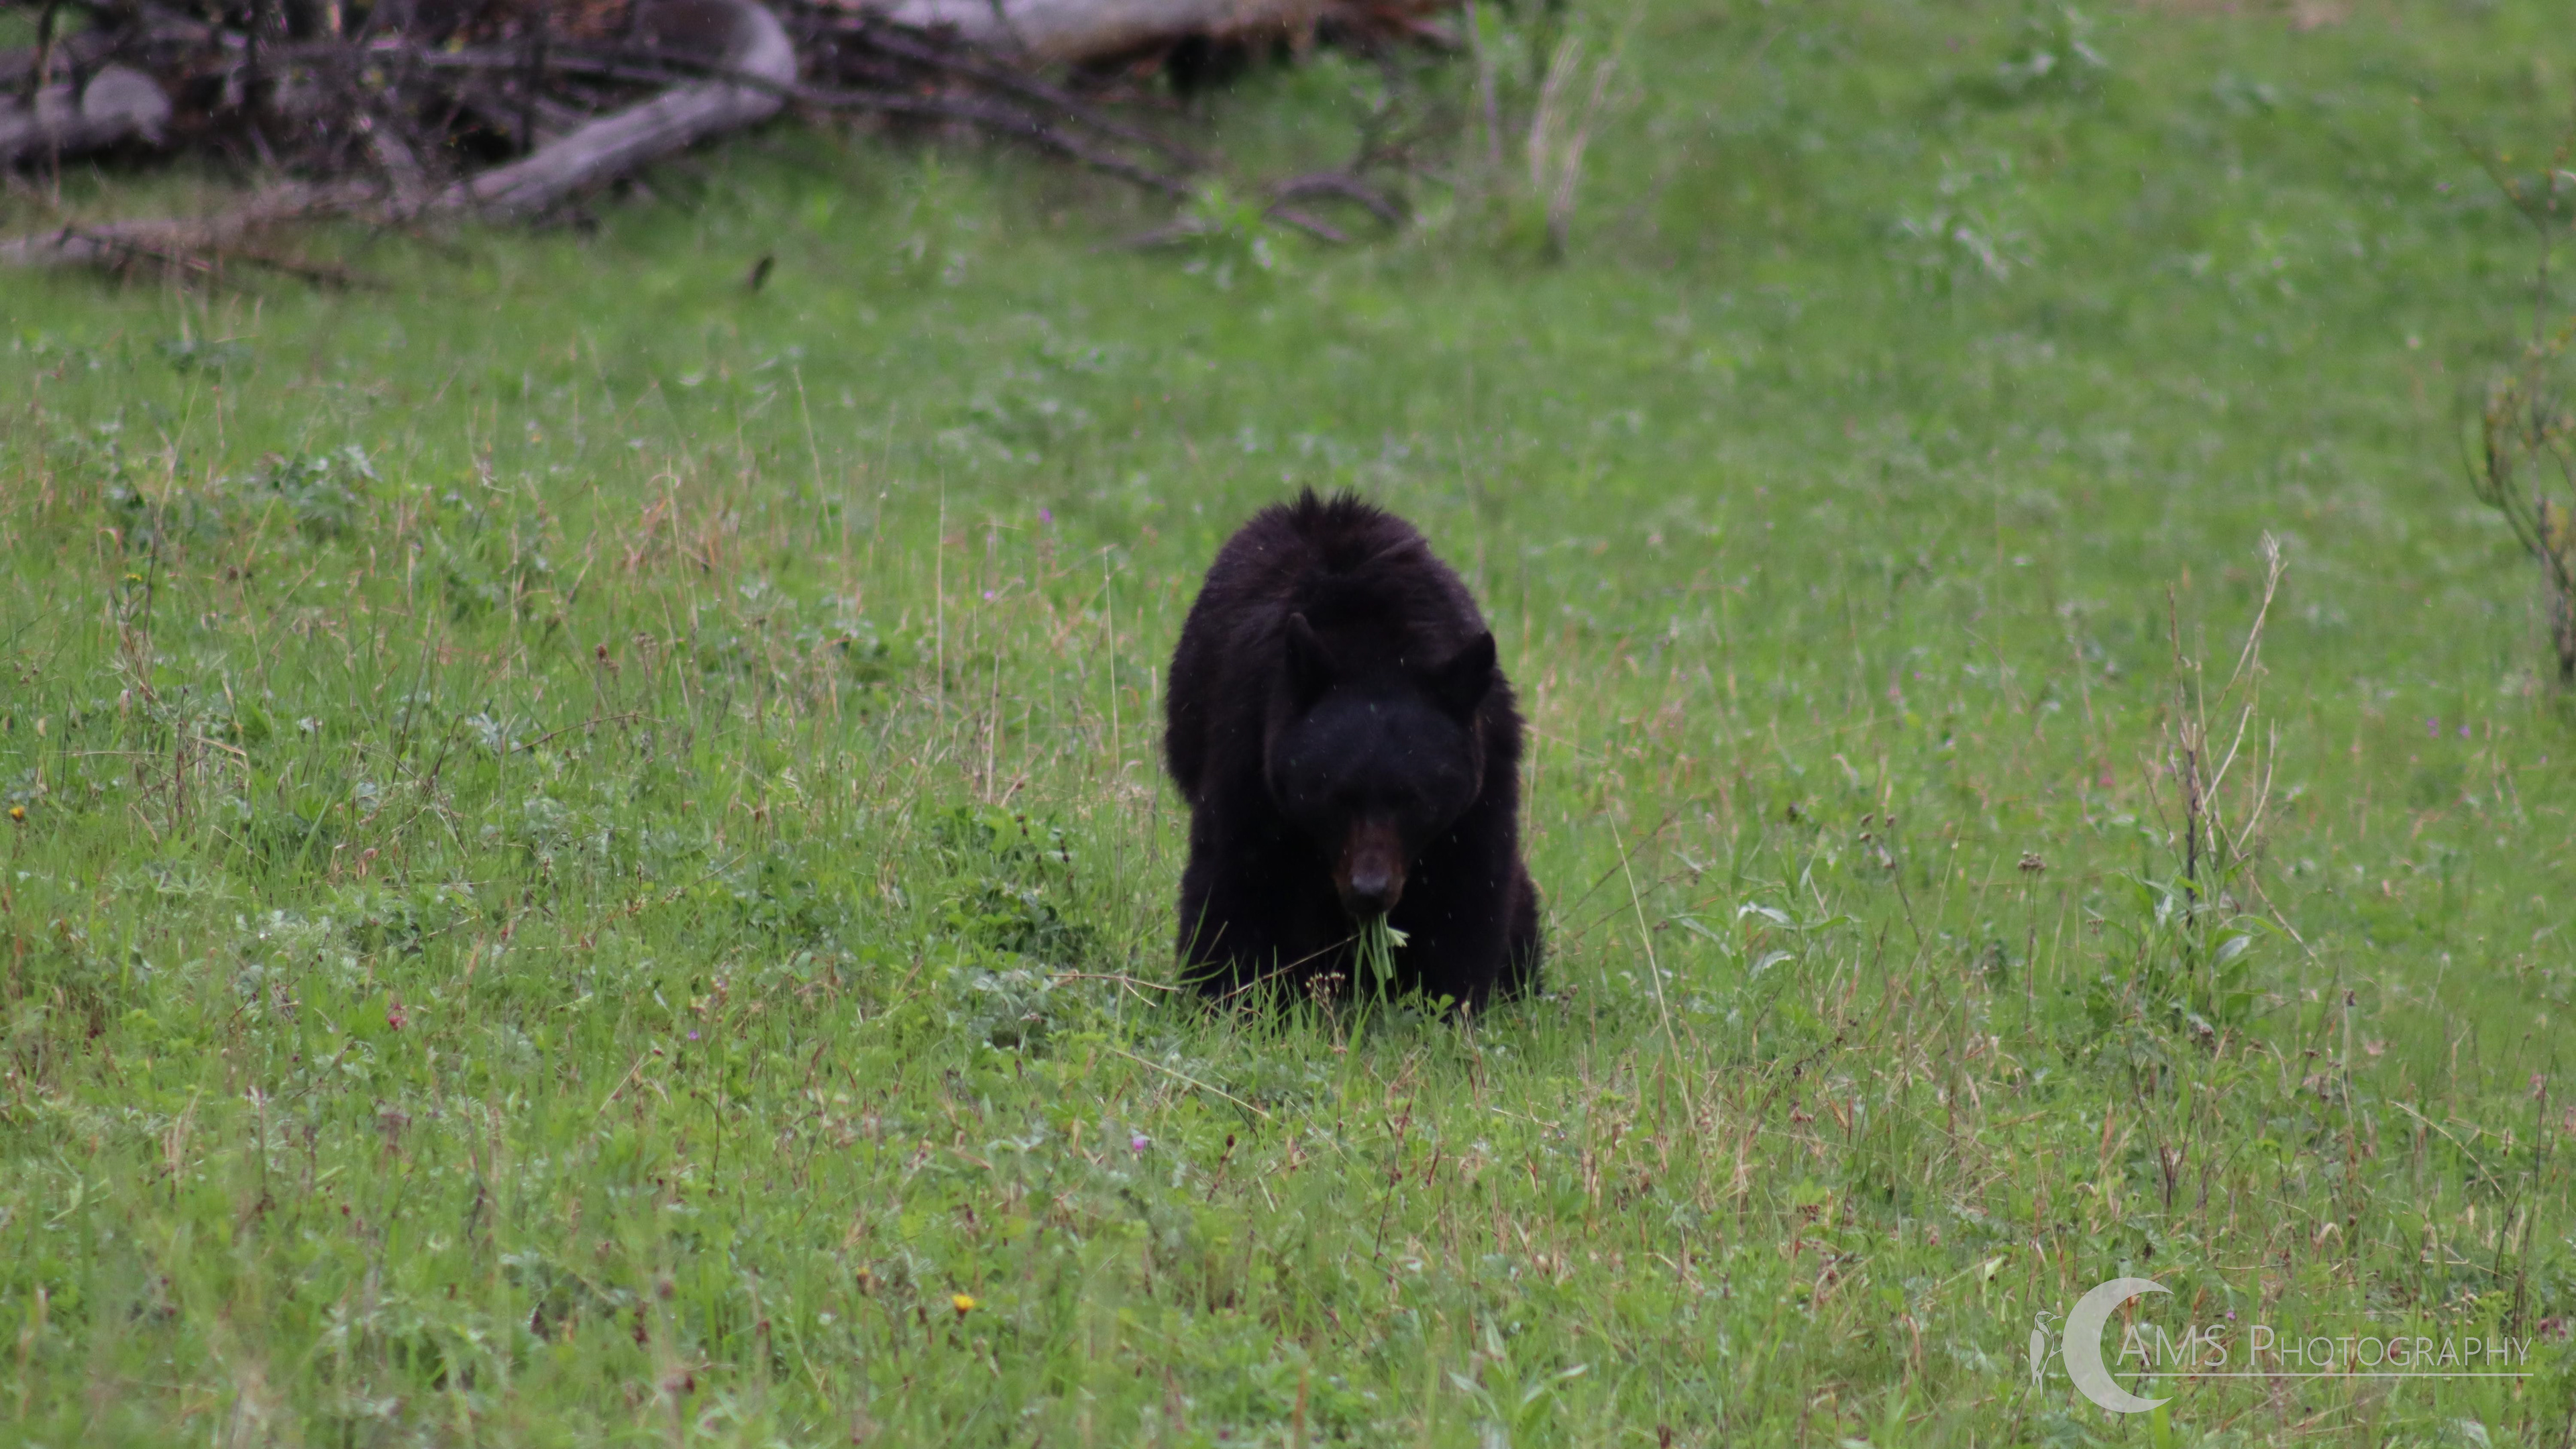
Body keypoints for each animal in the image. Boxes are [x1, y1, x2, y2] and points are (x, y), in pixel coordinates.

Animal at [1162, 490, 1541, 1011]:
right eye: (1335, 797)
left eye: (1415, 801)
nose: (1369, 892)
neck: (1377, 648)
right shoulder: (1249, 747)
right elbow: (1234, 876)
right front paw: (1226, 996)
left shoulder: (1484, 775)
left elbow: (1469, 888)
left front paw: (1451, 1004)